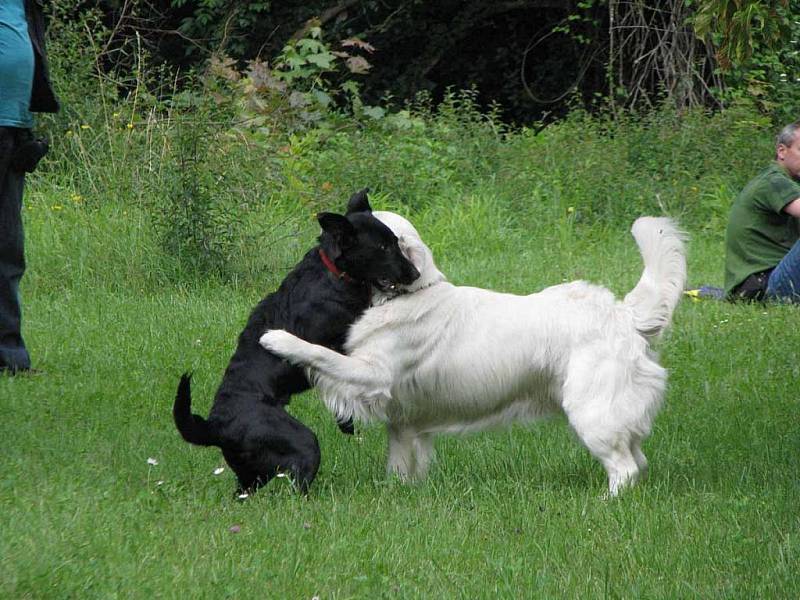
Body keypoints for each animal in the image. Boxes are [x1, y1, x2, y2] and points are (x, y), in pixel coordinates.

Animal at [171, 191, 416, 492]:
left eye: (395, 242)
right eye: (383, 247)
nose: (415, 274)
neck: (334, 274)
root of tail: (216, 427)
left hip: (250, 477)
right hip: (302, 444)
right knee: (297, 485)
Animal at [262, 212, 688, 496]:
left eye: (382, 237)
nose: (323, 236)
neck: (409, 294)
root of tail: (623, 313)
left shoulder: (372, 373)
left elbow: (321, 354)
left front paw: (277, 339)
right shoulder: (403, 421)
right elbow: (400, 465)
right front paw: (400, 493)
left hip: (592, 413)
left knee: (625, 468)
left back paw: (603, 503)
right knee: (637, 460)